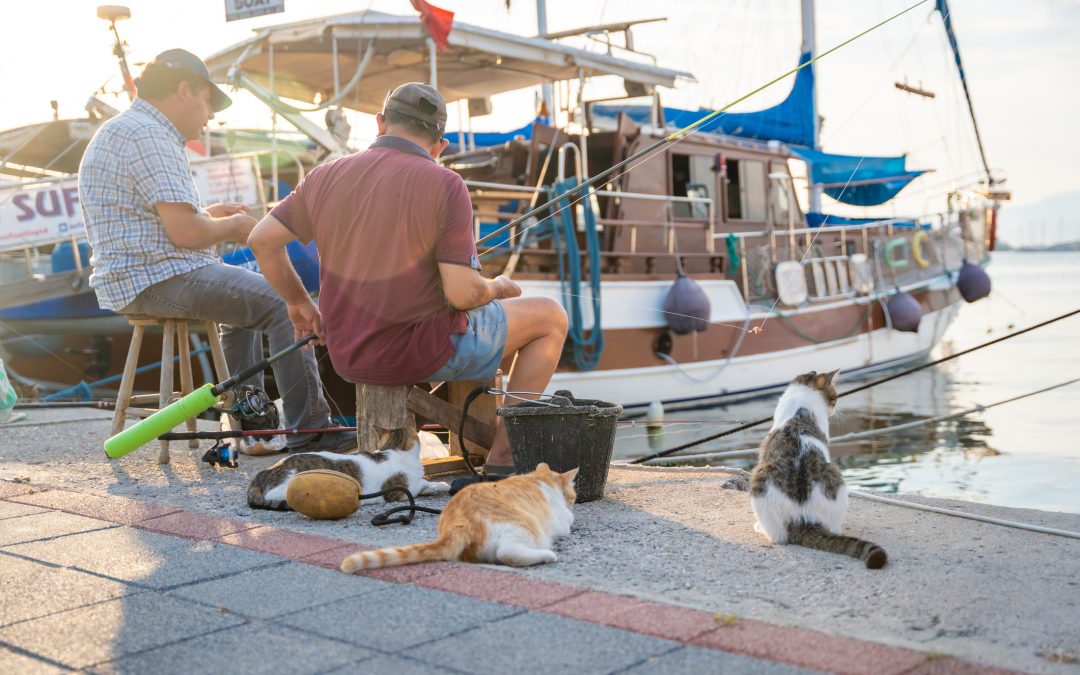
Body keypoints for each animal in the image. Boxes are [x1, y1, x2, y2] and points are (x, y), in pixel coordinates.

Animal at [247, 425, 449, 509]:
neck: (392, 449)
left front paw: (436, 486)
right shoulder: (398, 492)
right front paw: (439, 486)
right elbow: (420, 484)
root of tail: (265, 471)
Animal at [339, 460, 578, 570]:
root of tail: (460, 523)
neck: (539, 480)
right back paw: (547, 555)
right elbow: (568, 522)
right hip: (525, 526)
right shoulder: (562, 522)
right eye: (573, 497)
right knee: (507, 552)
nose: (573, 501)